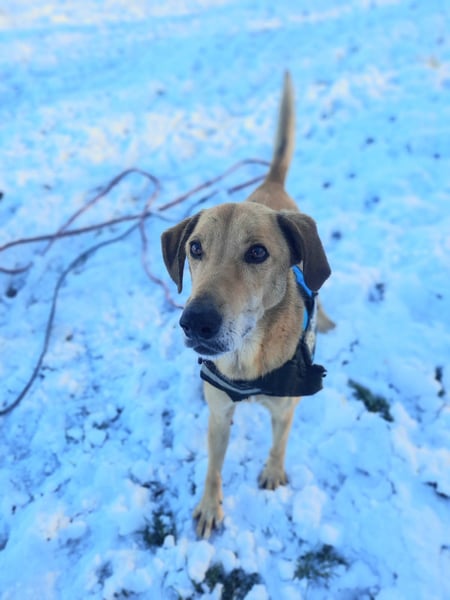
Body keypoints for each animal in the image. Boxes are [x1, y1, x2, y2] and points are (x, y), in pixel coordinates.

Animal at [161, 72, 333, 538]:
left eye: (257, 253)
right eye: (195, 248)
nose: (195, 322)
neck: (246, 362)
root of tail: (270, 184)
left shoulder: (286, 407)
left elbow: (279, 443)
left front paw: (272, 472)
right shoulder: (219, 415)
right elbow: (213, 467)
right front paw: (209, 507)